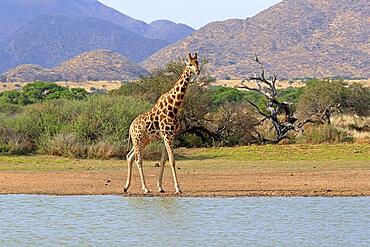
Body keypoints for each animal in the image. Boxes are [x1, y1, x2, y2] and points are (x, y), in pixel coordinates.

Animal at [124, 52, 199, 194]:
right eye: (190, 64)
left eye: (198, 63)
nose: (198, 71)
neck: (173, 107)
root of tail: (131, 127)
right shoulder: (167, 135)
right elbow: (172, 160)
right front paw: (178, 188)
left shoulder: (169, 136)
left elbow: (163, 160)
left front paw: (160, 187)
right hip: (138, 139)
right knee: (138, 159)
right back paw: (145, 188)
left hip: (144, 141)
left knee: (129, 156)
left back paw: (126, 187)